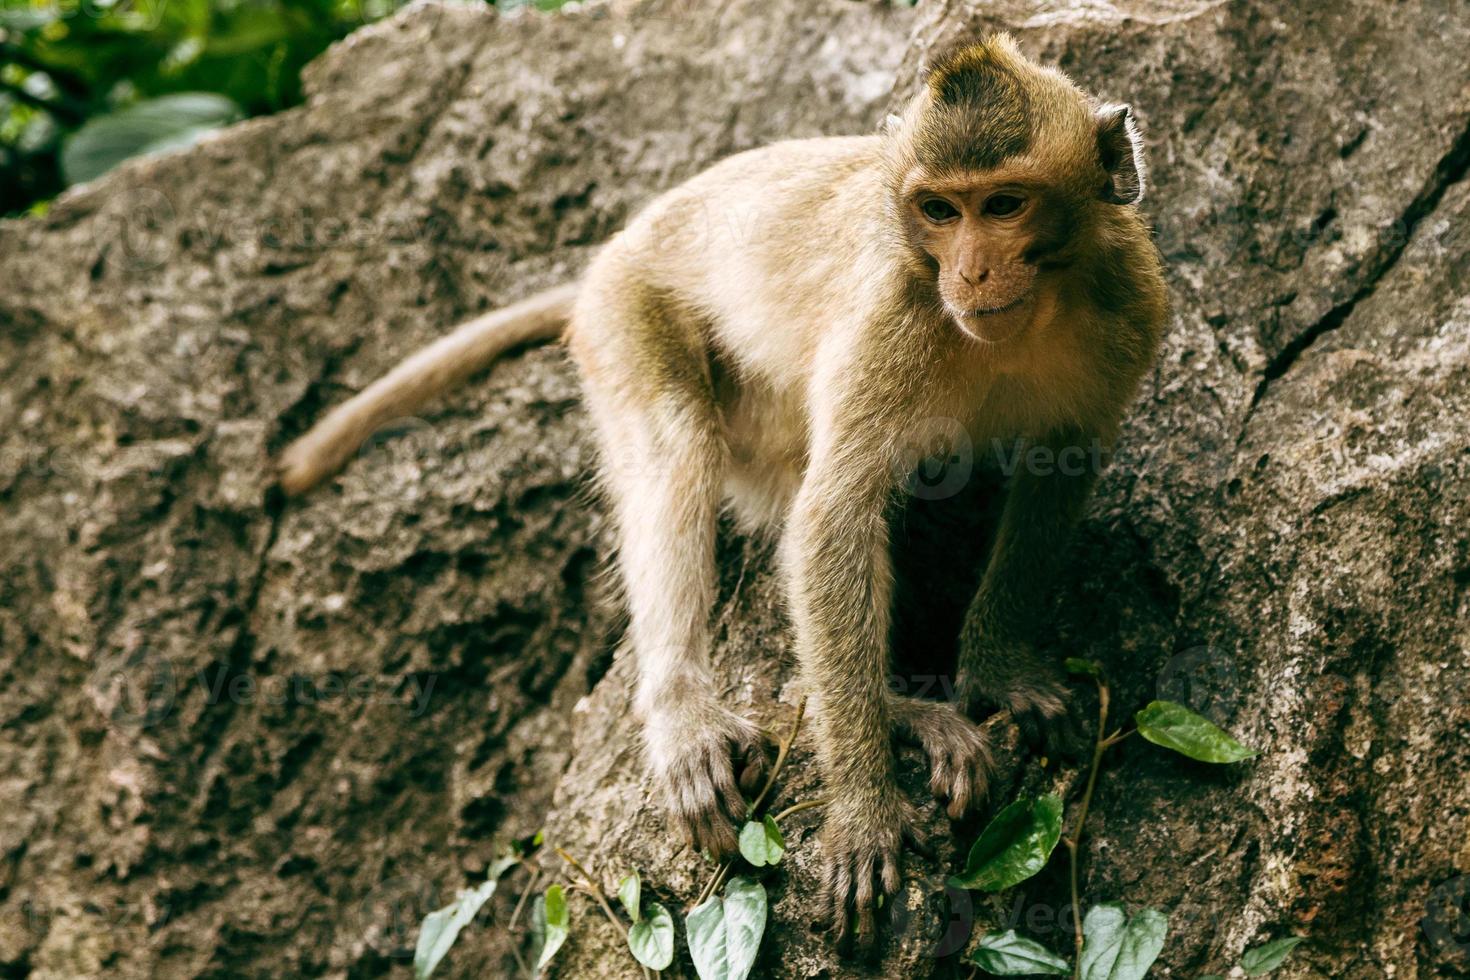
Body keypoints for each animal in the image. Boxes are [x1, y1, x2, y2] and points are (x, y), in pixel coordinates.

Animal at [280, 34, 1164, 940]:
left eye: (1005, 205)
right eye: (941, 213)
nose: (973, 273)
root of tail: (623, 239)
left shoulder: (1130, 303)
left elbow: (1058, 471)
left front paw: (997, 668)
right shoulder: (893, 318)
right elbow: (834, 517)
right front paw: (864, 809)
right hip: (624, 316)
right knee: (676, 453)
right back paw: (704, 717)